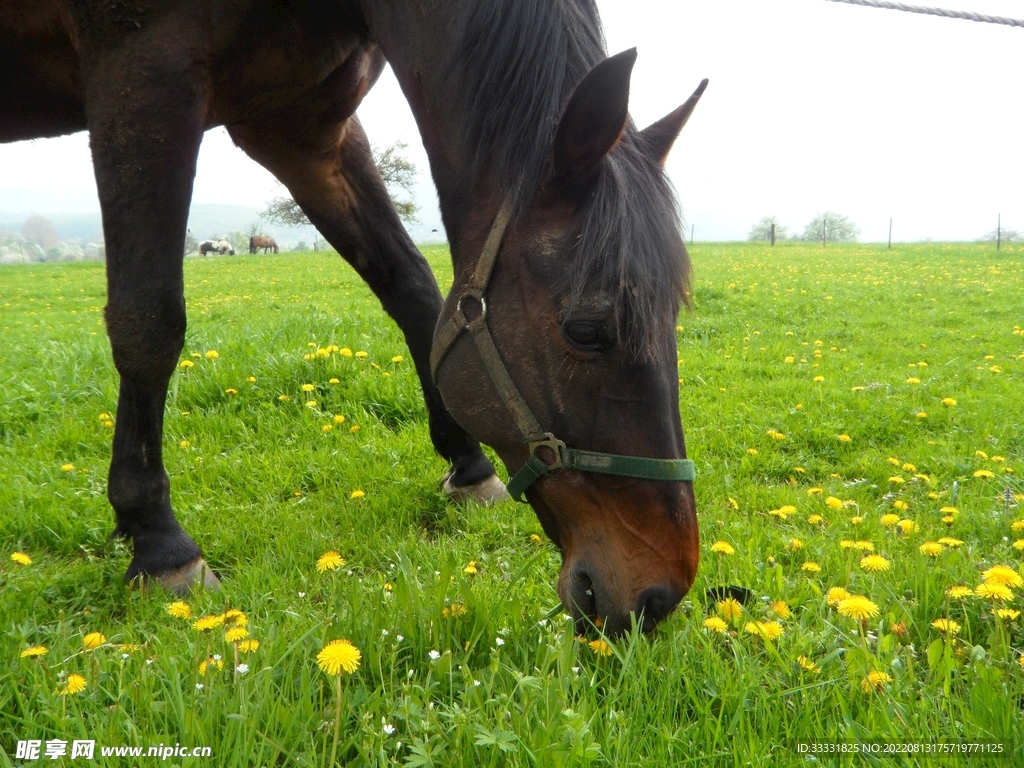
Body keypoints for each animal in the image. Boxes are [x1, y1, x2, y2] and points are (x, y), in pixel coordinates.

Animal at [2, 0, 706, 635]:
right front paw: (158, 540)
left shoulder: (305, 131)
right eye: (585, 331)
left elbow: (413, 288)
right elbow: (149, 321)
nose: (658, 595)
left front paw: (469, 468)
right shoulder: (141, 73)